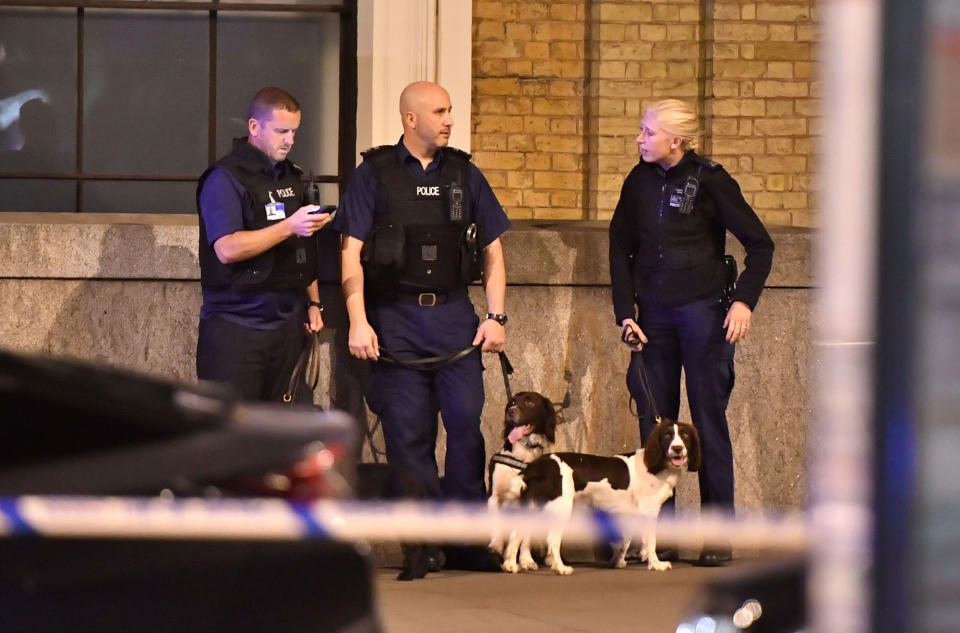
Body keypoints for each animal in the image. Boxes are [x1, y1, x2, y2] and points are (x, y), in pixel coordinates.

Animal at [488, 392, 556, 556]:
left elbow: (526, 538)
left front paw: (527, 559)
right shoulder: (495, 496)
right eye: (512, 401)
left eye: (530, 403)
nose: (510, 412)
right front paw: (496, 546)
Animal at [498, 420, 700, 572]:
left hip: (535, 506)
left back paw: (510, 565)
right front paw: (656, 564)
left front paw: (618, 562)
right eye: (667, 436)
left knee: (517, 533)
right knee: (552, 540)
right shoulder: (648, 512)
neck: (654, 465)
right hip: (561, 508)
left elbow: (624, 540)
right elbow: (650, 541)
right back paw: (560, 568)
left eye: (685, 436)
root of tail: (535, 466)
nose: (677, 449)